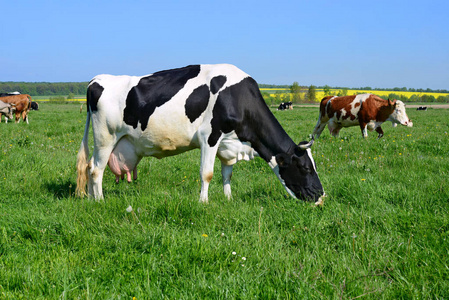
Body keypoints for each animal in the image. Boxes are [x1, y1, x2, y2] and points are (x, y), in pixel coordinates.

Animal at [75, 63, 324, 204]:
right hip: (105, 137)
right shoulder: (209, 136)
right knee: (96, 170)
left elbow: (226, 175)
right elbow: (207, 174)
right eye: (305, 168)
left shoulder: (227, 144)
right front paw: (203, 202)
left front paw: (228, 199)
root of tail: (96, 79)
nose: (321, 196)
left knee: (88, 166)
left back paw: (90, 200)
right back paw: (100, 201)